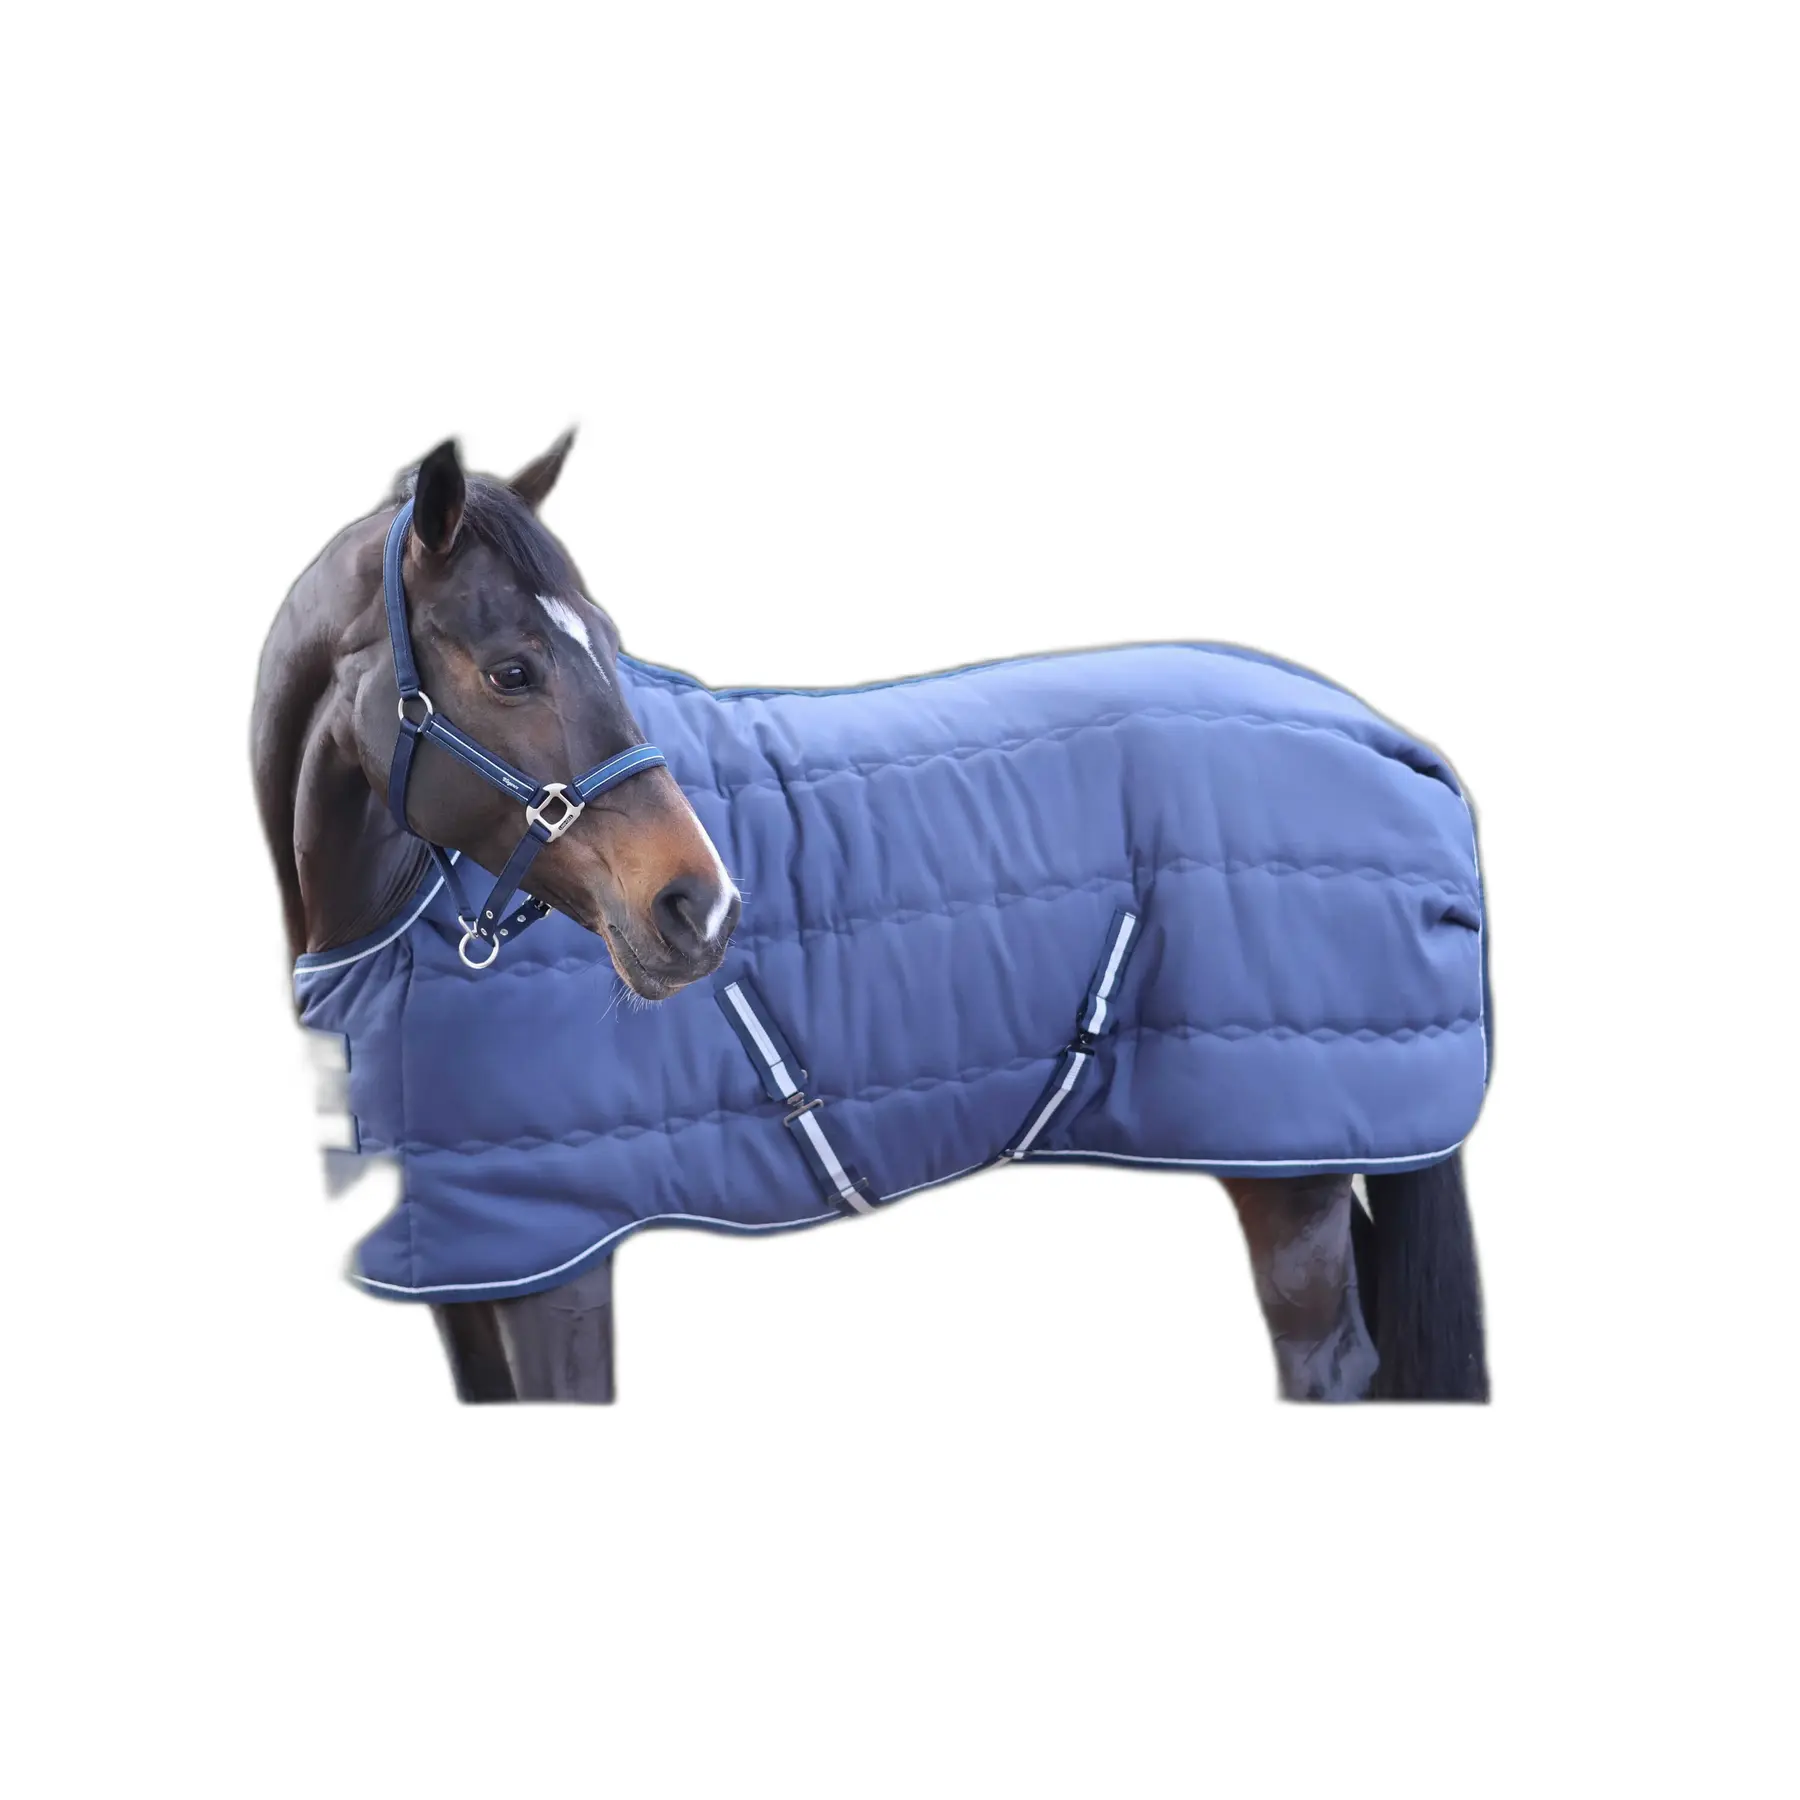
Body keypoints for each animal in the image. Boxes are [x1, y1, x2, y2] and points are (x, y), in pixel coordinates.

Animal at [253, 433, 1489, 1404]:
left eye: (603, 640)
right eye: (511, 670)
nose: (701, 908)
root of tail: (1395, 743)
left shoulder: (553, 1264)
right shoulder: (467, 1275)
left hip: (1292, 1179)